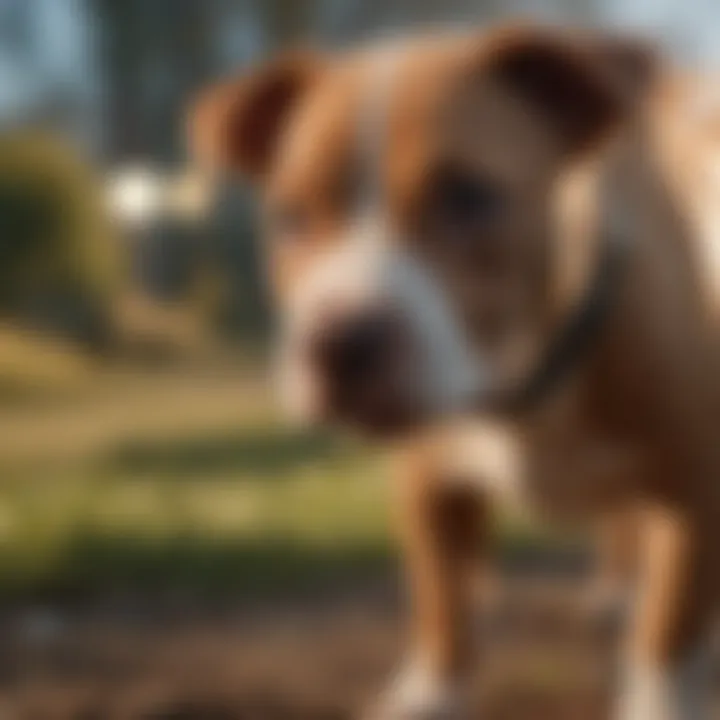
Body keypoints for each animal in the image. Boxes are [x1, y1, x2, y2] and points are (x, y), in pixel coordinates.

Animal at [190, 25, 720, 716]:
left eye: (468, 198)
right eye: (290, 217)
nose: (339, 340)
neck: (517, 389)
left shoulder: (694, 491)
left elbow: (669, 629)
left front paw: (661, 700)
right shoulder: (427, 484)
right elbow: (442, 604)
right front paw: (430, 694)